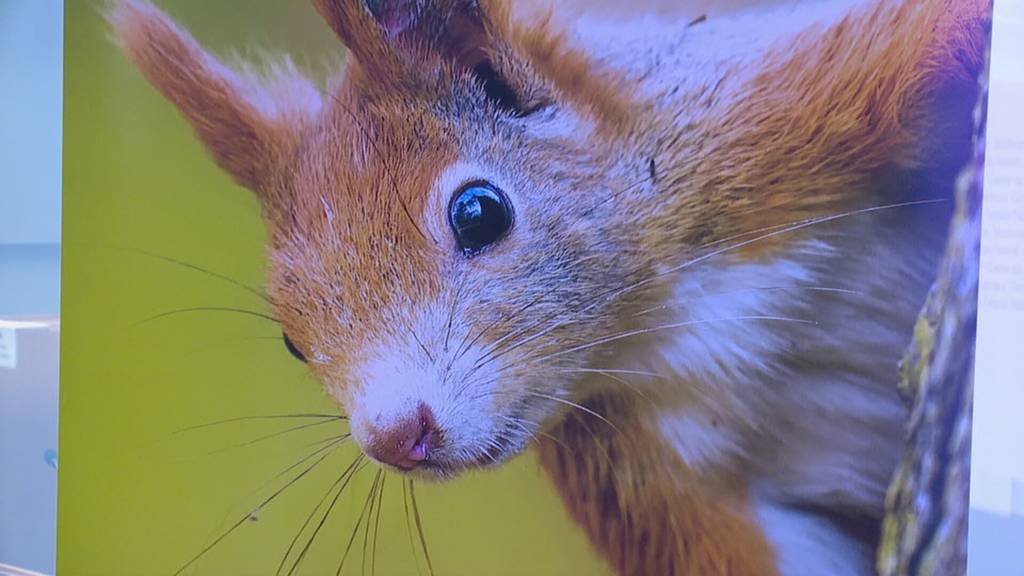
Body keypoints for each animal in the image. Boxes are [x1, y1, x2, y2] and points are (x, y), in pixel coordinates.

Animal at [112, 1, 991, 569]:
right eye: (292, 341)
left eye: (478, 211)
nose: (395, 436)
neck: (669, 313)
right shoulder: (644, 474)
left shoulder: (794, 103)